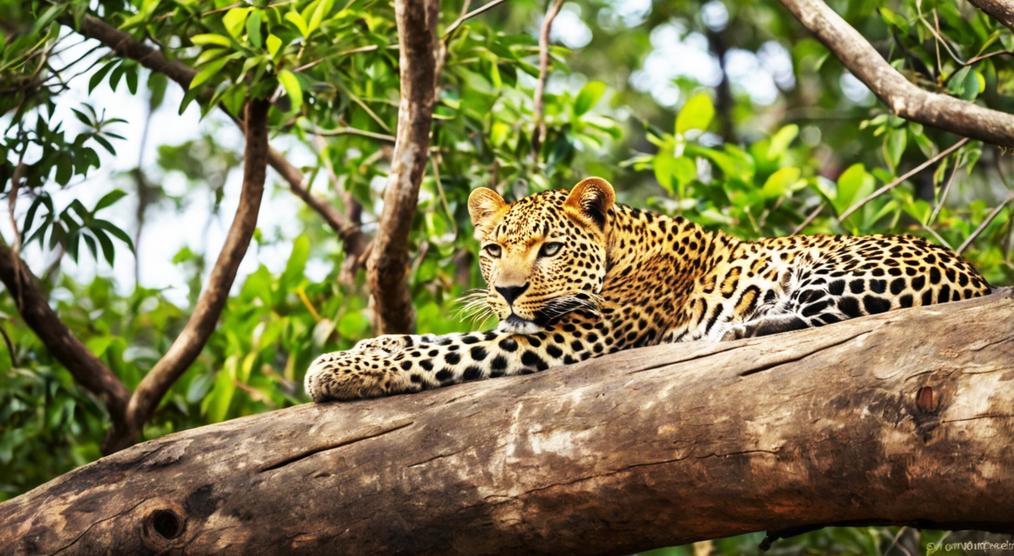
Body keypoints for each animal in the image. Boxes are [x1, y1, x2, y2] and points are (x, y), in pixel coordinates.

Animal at [305, 177, 991, 401]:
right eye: (494, 249)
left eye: (550, 249)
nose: (508, 290)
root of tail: (981, 276)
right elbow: (424, 338)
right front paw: (358, 353)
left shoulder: (571, 337)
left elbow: (444, 349)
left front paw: (335, 369)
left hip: (839, 266)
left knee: (818, 321)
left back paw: (742, 325)